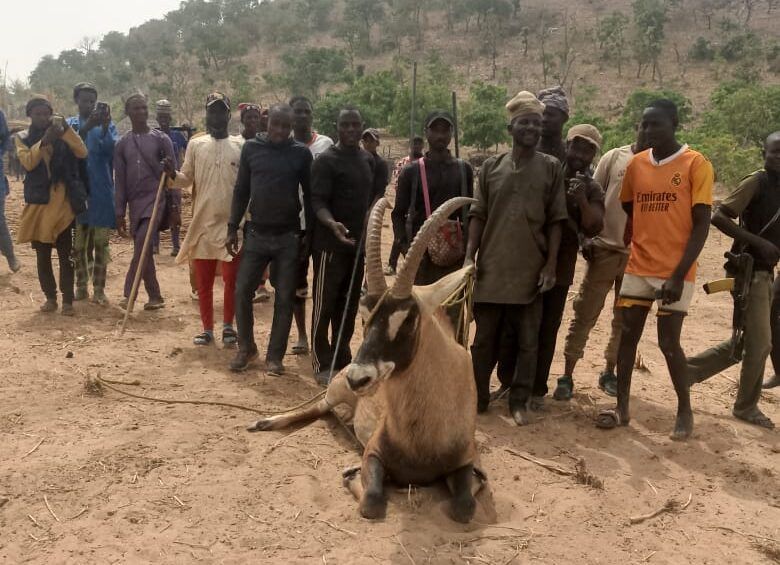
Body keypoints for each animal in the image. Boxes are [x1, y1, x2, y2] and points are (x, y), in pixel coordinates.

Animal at [248, 196, 488, 524]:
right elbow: (371, 502)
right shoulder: (373, 453)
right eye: (365, 315)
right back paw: (265, 422)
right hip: (336, 391)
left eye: (408, 320)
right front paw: (351, 474)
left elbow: (464, 507)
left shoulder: (467, 462)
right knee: (318, 405)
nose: (358, 377)